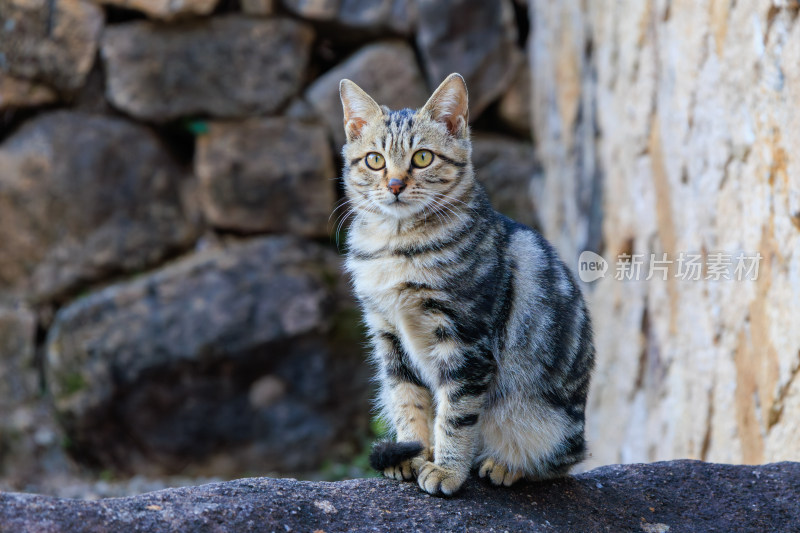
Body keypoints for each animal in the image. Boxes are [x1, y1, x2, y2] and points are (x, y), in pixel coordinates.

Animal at [338, 74, 592, 494]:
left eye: (422, 157)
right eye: (375, 160)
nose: (395, 184)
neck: (396, 245)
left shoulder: (466, 340)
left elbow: (456, 414)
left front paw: (446, 470)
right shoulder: (389, 337)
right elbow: (408, 402)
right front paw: (412, 453)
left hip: (546, 423)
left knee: (561, 461)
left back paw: (504, 464)